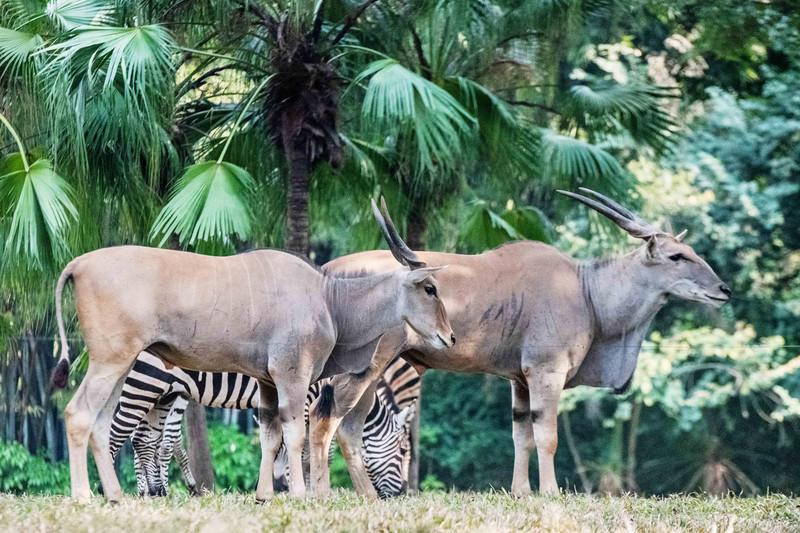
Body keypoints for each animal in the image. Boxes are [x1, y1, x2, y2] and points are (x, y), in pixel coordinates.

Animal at [110, 352, 422, 496]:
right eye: (402, 453)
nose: (401, 494)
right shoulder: (307, 402)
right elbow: (310, 450)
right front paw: (307, 490)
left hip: (163, 393)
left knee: (143, 439)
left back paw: (153, 492)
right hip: (147, 386)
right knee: (117, 435)